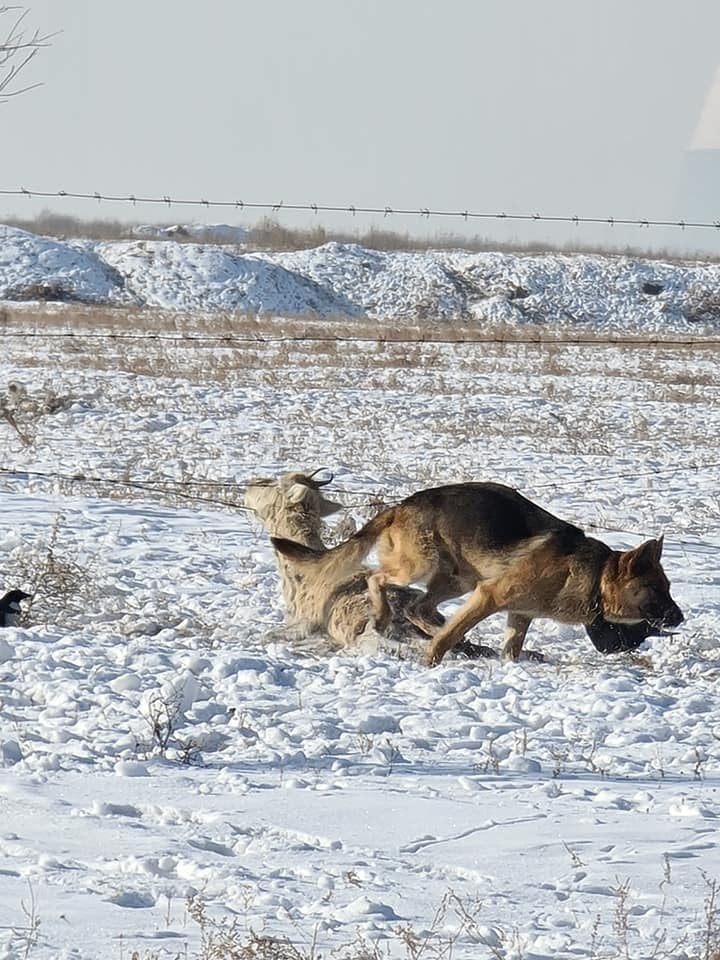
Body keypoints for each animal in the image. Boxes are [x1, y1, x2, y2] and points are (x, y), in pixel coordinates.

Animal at [272, 484, 684, 664]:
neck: (596, 577)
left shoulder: (519, 613)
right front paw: (431, 661)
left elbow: (511, 649)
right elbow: (450, 637)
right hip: (423, 566)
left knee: (420, 608)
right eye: (656, 588)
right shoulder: (490, 596)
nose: (680, 618)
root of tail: (401, 505)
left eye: (667, 586)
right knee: (379, 578)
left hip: (457, 579)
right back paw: (384, 614)